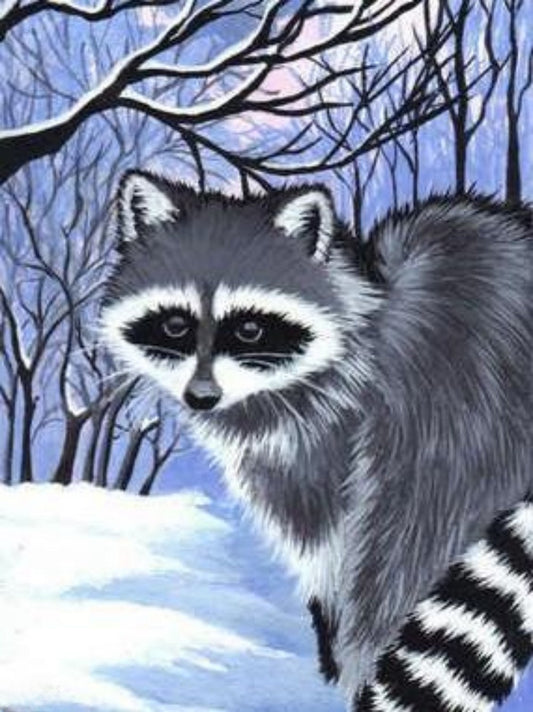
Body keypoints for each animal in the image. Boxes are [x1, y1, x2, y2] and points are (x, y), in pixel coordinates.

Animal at [101, 171, 533, 708]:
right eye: (176, 323)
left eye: (249, 328)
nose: (201, 396)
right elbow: (320, 545)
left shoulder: (373, 418)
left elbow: (376, 560)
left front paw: (356, 663)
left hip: (465, 412)